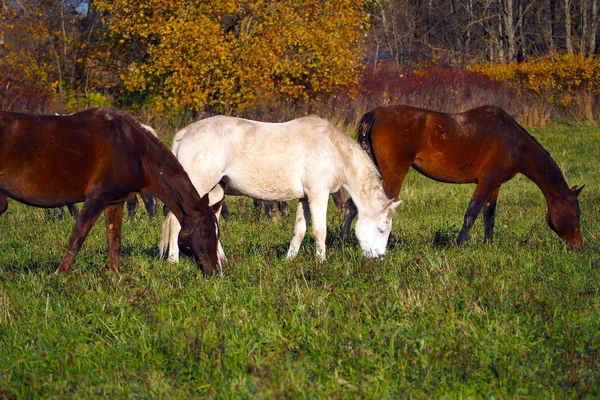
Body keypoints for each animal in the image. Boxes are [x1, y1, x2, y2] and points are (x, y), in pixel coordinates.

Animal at [0, 106, 221, 276]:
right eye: (205, 231)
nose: (215, 271)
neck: (133, 148)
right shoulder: (97, 198)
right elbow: (78, 236)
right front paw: (59, 274)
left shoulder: (115, 202)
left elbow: (114, 240)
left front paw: (115, 276)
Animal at [161, 115, 404, 262]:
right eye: (382, 229)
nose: (379, 257)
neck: (331, 150)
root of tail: (184, 133)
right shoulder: (318, 194)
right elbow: (320, 230)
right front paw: (321, 260)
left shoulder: (305, 198)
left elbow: (300, 230)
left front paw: (290, 258)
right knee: (176, 222)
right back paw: (173, 260)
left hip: (215, 191)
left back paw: (221, 259)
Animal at [344, 105, 584, 250]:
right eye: (576, 213)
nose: (578, 246)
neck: (514, 143)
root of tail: (375, 114)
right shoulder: (486, 181)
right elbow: (472, 212)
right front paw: (459, 244)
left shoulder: (495, 185)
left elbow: (489, 215)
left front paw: (489, 245)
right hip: (393, 174)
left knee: (351, 205)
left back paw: (345, 241)